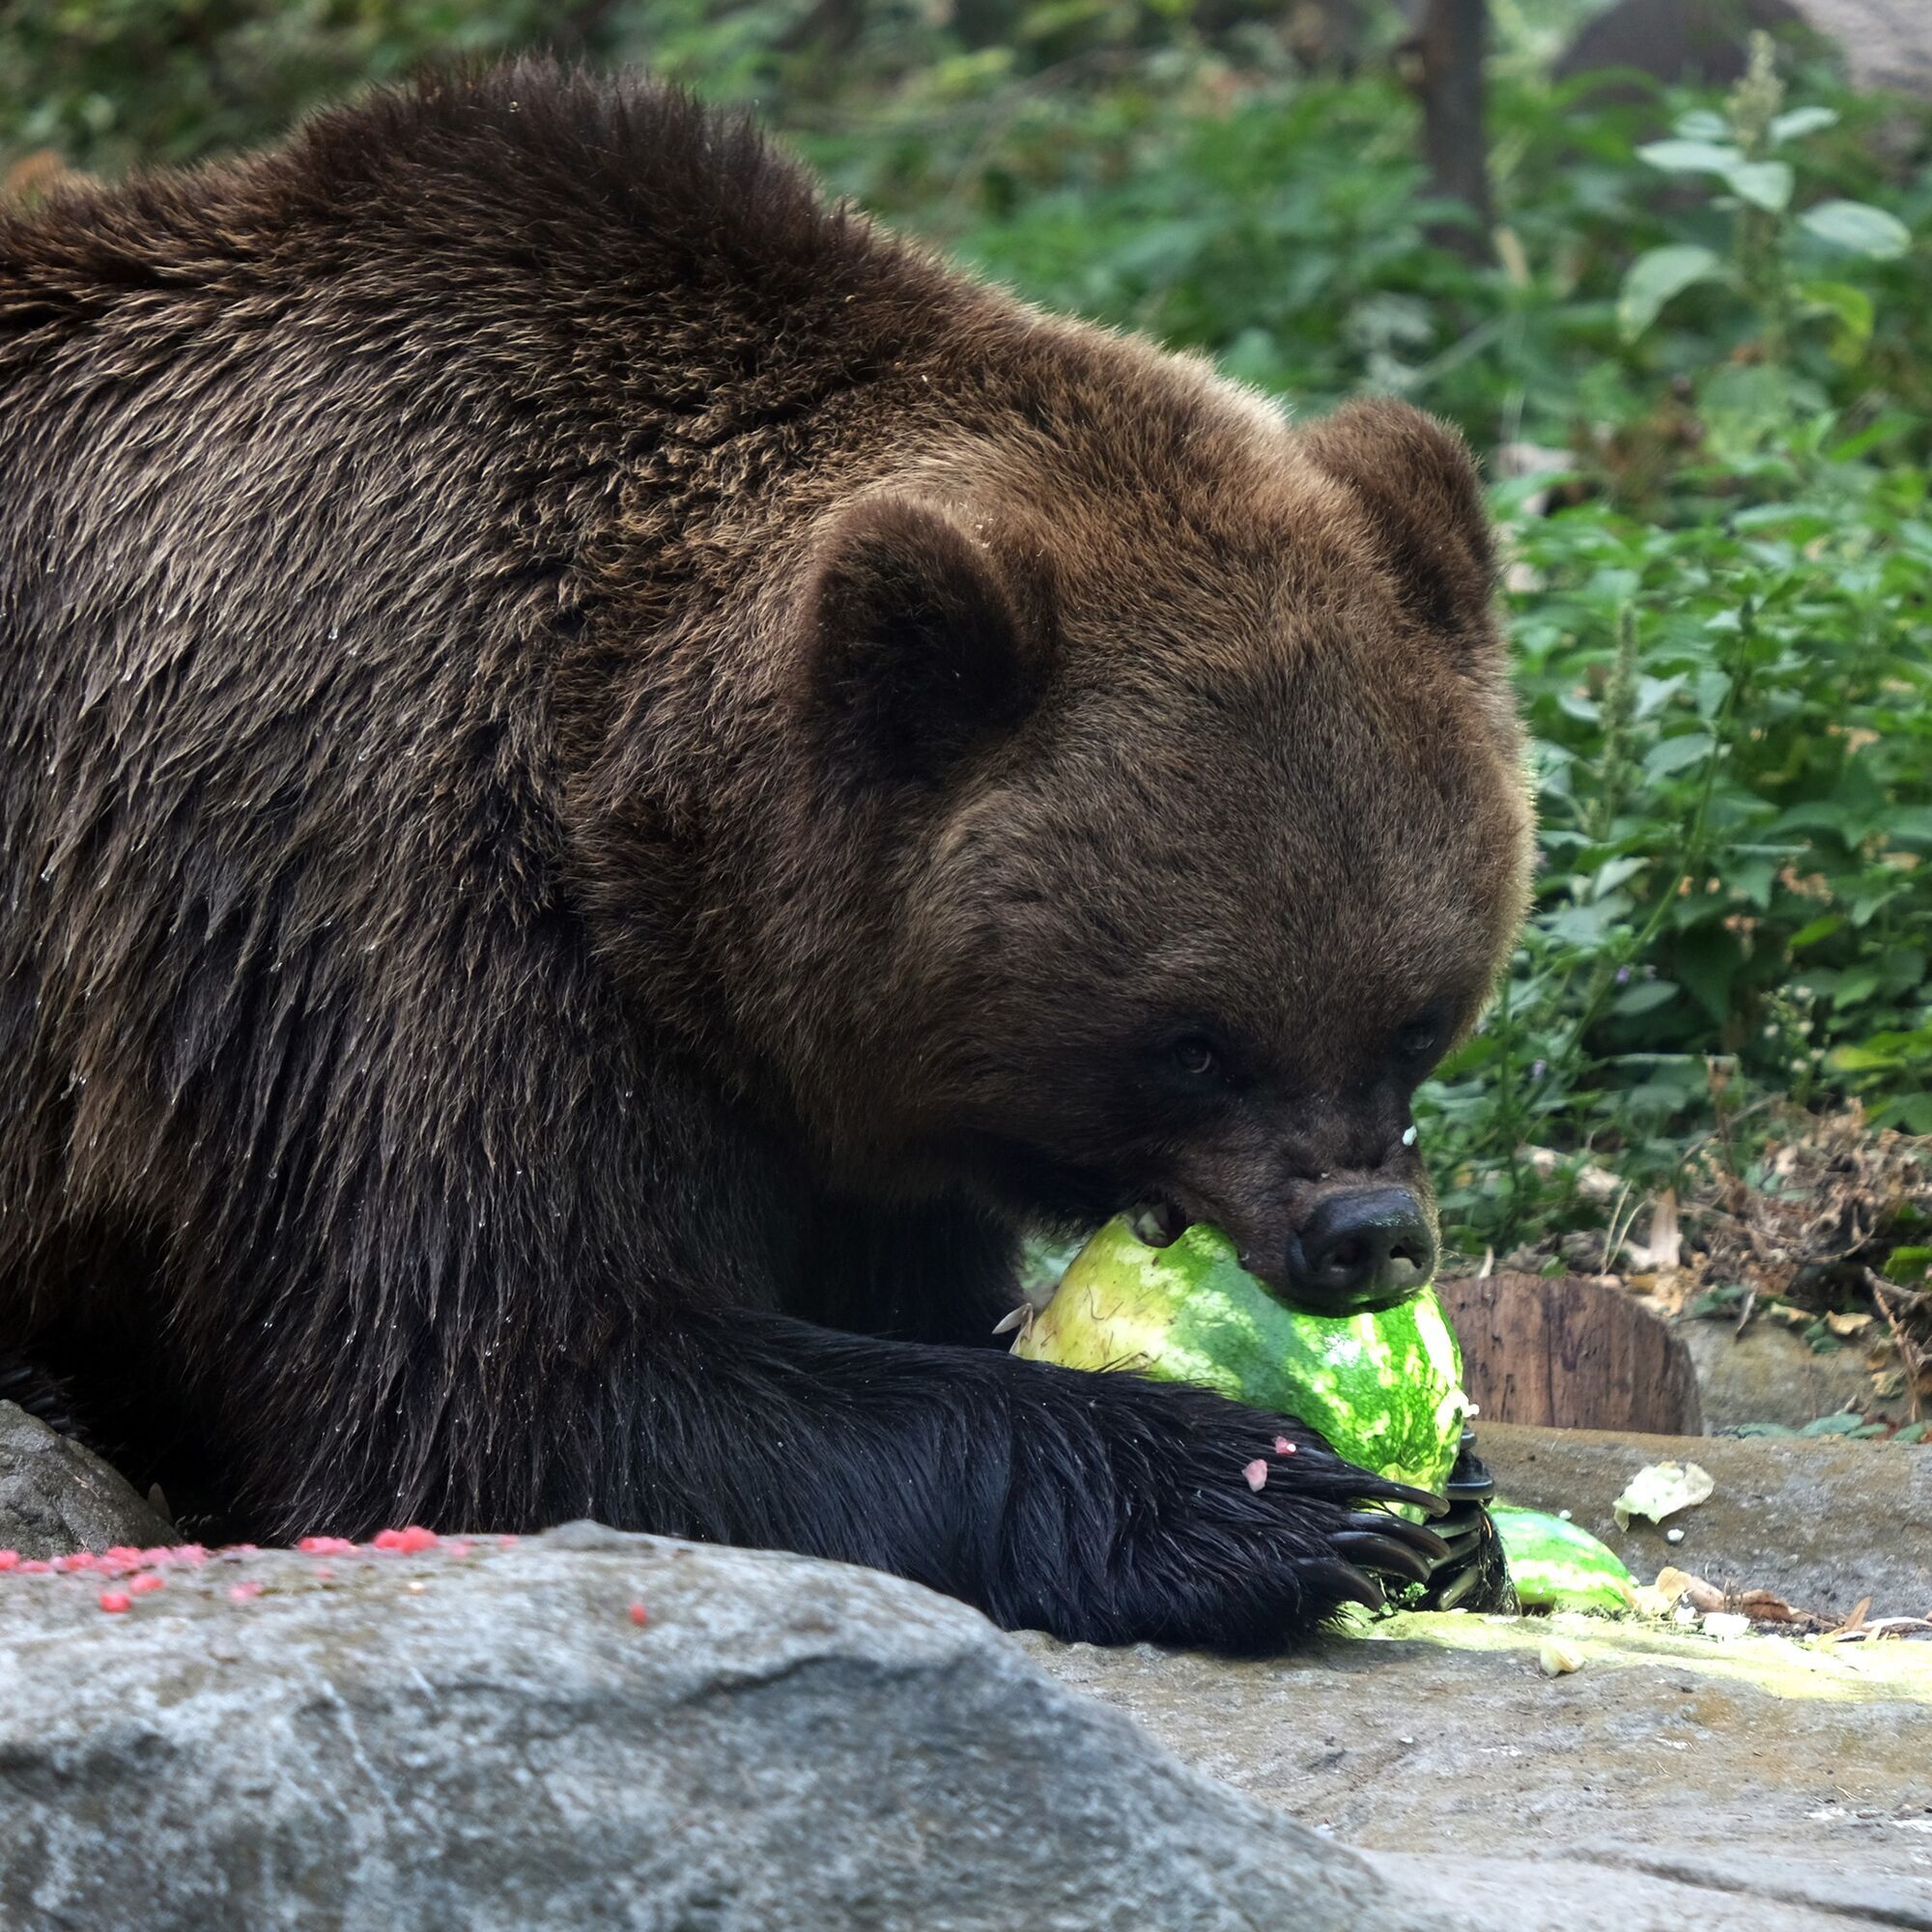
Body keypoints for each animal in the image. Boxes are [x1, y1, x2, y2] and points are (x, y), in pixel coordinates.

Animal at [0, 68, 1530, 1654]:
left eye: (1417, 1016)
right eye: (1194, 1041)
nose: (1364, 1234)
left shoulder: (839, 1071)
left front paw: (1455, 1506)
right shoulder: (378, 904)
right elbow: (506, 1385)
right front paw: (1255, 1493)